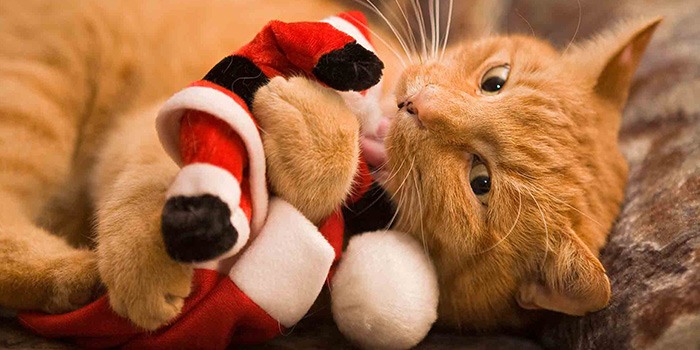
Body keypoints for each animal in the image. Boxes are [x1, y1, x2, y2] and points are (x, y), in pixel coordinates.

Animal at [0, 0, 660, 336]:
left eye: (481, 182)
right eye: (494, 81)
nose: (417, 107)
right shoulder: (161, 115)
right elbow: (153, 178)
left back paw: (78, 276)